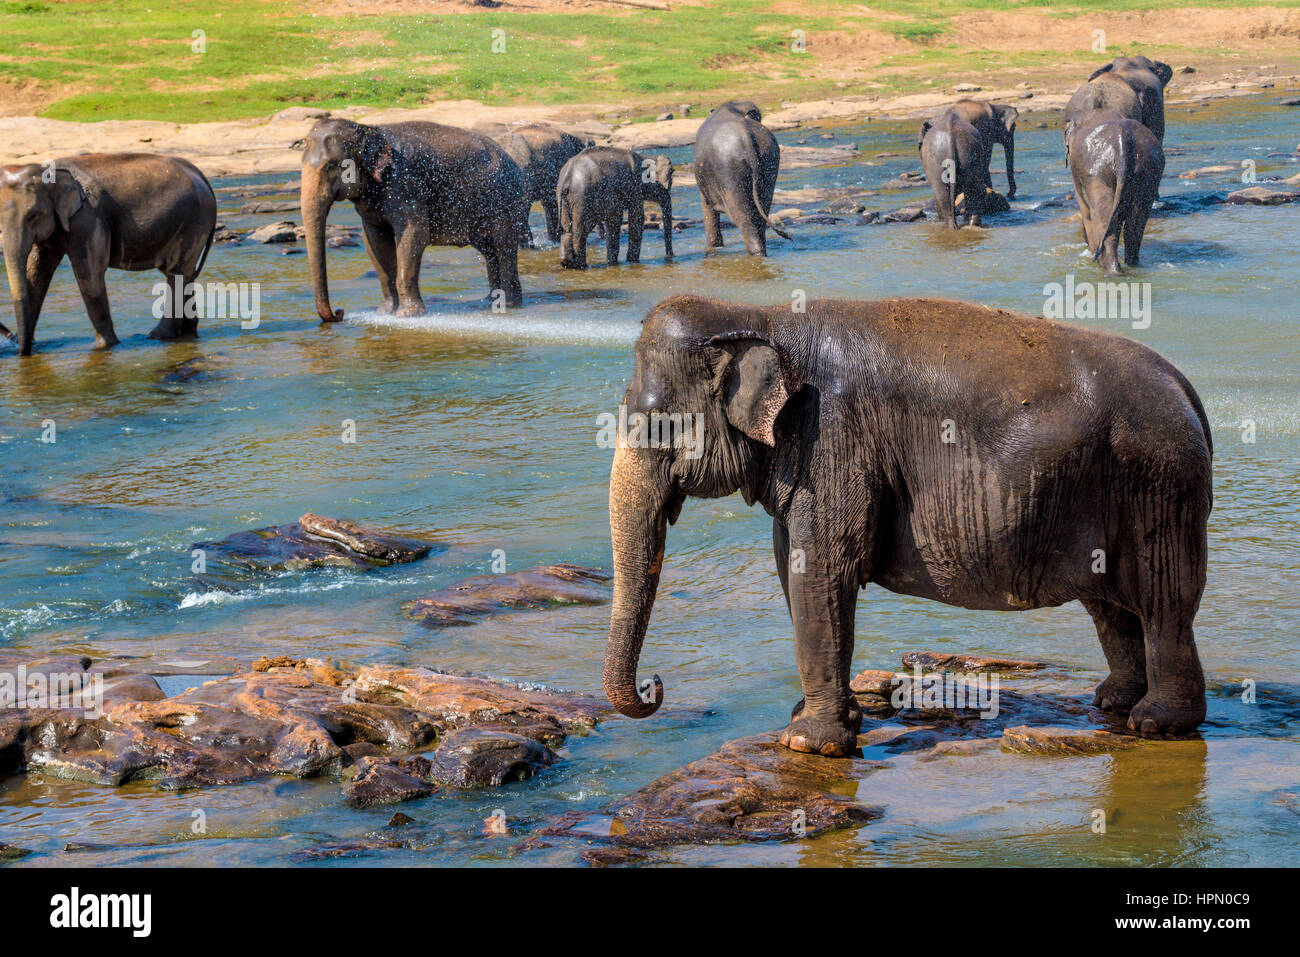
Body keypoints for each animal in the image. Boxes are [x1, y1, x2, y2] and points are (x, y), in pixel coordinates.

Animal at [0, 153, 215, 356]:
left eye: (33, 215)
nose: (21, 348)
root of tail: (201, 176)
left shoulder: (87, 219)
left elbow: (89, 275)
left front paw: (105, 347)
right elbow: (37, 275)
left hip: (194, 222)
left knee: (176, 273)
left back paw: (158, 337)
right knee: (183, 273)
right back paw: (186, 333)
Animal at [299, 118, 527, 317]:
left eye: (330, 166)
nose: (339, 313)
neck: (369, 129)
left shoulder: (405, 183)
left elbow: (414, 234)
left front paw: (408, 314)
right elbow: (374, 241)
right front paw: (385, 312)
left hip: (505, 199)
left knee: (504, 244)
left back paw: (509, 304)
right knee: (489, 249)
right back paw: (490, 300)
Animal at [603, 295, 1211, 759]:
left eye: (658, 423)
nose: (654, 684)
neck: (761, 315)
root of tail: (1188, 389)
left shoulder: (832, 443)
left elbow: (821, 573)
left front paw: (807, 742)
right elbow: (792, 568)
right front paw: (821, 721)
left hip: (1160, 486)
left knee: (1163, 600)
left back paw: (1155, 723)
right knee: (1111, 606)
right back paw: (1113, 703)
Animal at [691, 100, 790, 254]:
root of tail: (746, 137)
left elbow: (709, 210)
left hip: (729, 171)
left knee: (744, 219)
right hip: (768, 163)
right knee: (761, 216)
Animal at [1066, 108, 1170, 274]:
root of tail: (1123, 143)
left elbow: (1086, 213)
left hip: (1097, 174)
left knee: (1103, 219)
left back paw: (1111, 272)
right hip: (1149, 172)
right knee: (1135, 225)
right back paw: (1132, 266)